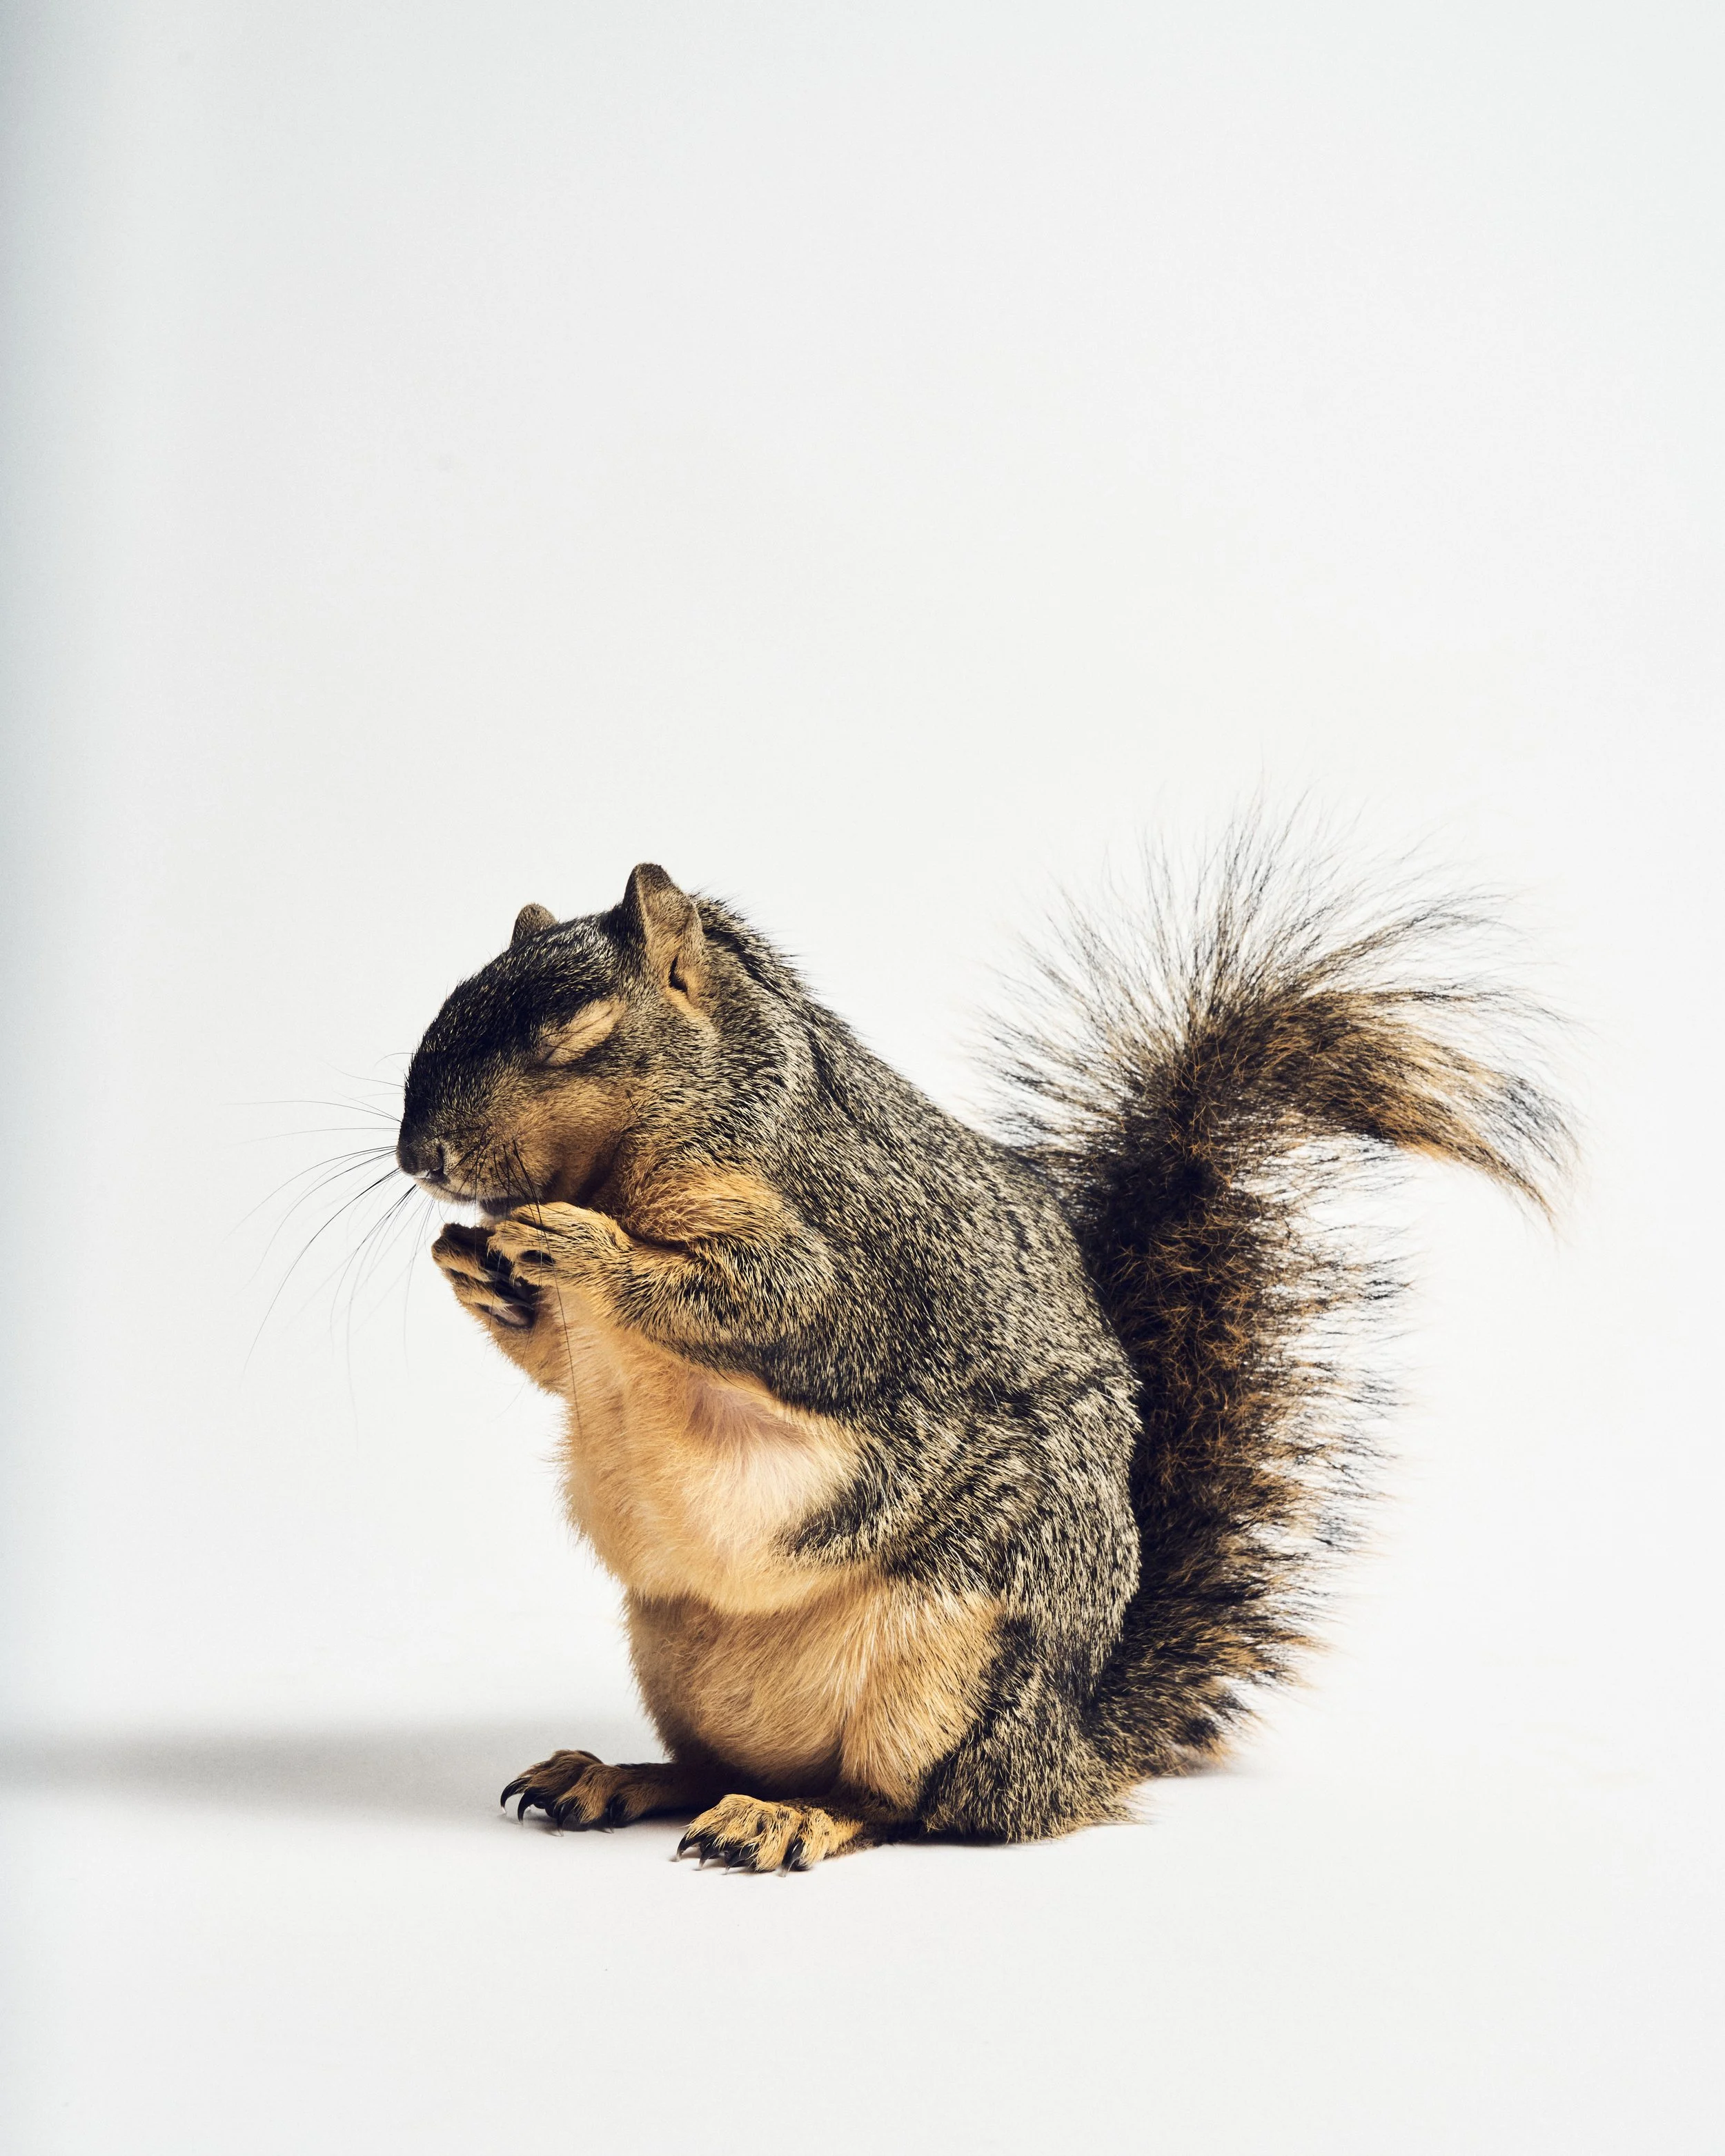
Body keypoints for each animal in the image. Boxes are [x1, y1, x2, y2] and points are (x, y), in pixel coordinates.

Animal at [396, 836, 1569, 1872]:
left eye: (577, 1028)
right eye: (453, 997)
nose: (419, 1158)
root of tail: (1068, 1754)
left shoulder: (853, 1252)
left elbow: (778, 1304)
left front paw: (579, 1246)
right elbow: (557, 1364)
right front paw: (472, 1264)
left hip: (953, 1668)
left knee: (909, 1806)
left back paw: (792, 1817)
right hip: (681, 1660)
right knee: (725, 1768)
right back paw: (617, 1777)